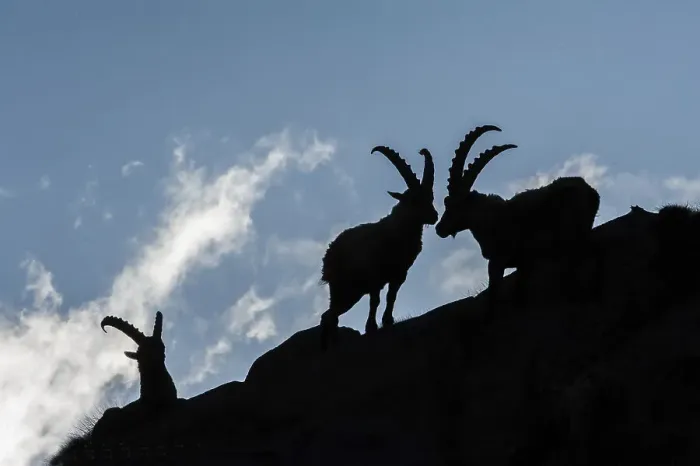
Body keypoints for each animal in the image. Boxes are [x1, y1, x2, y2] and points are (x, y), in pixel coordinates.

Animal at [319, 145, 438, 349]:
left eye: (430, 197)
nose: (434, 216)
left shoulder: (399, 273)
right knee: (329, 316)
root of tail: (328, 257)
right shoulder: (374, 274)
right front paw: (371, 327)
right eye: (414, 200)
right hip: (344, 289)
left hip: (350, 292)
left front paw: (388, 321)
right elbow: (375, 300)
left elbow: (391, 296)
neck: (396, 233)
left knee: (329, 315)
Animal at [434, 125, 601, 308]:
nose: (439, 229)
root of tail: (590, 192)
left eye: (455, 205)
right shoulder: (523, 263)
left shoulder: (498, 261)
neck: (493, 218)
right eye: (446, 201)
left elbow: (494, 294)